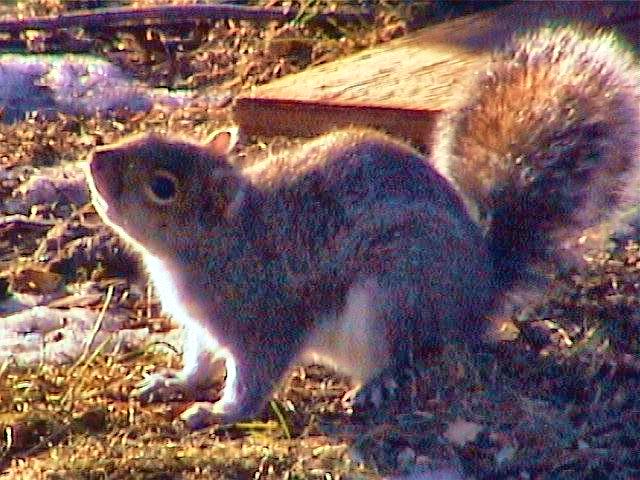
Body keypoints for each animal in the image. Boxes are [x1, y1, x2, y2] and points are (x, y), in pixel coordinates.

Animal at [86, 26, 640, 429]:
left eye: (163, 187)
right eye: (152, 138)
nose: (95, 159)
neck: (220, 243)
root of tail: (476, 296)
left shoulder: (265, 317)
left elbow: (253, 378)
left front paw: (218, 413)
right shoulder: (200, 326)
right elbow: (201, 362)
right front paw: (175, 383)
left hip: (397, 292)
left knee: (409, 354)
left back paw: (377, 384)